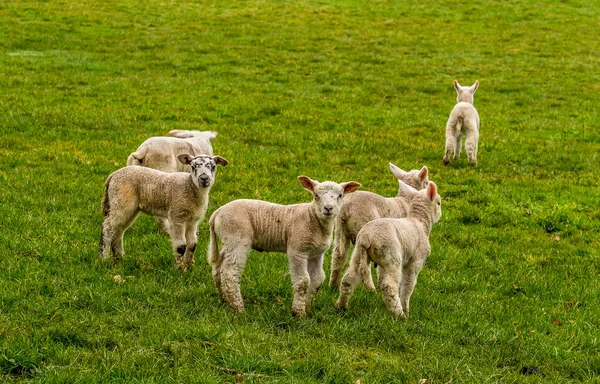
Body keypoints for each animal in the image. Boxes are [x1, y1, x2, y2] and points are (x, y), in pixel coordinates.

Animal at [209, 176, 360, 316]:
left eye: (340, 195)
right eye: (316, 196)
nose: (328, 208)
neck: (313, 219)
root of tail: (217, 213)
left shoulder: (316, 254)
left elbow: (317, 279)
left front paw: (308, 308)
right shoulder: (297, 250)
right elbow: (303, 281)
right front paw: (298, 313)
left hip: (228, 241)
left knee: (218, 268)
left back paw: (224, 299)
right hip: (237, 238)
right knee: (230, 272)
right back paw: (238, 308)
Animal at [336, 182, 442, 320]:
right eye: (439, 203)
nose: (441, 214)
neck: (419, 222)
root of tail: (366, 237)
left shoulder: (383, 264)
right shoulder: (416, 261)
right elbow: (408, 285)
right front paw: (406, 309)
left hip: (361, 254)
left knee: (348, 279)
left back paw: (341, 307)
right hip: (392, 256)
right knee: (389, 286)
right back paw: (399, 315)